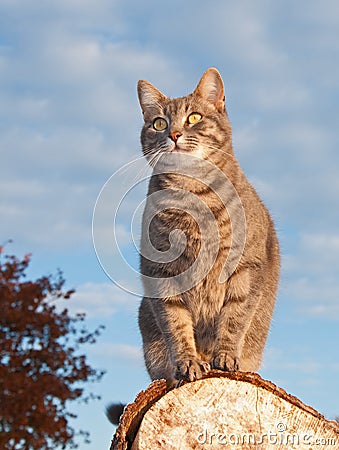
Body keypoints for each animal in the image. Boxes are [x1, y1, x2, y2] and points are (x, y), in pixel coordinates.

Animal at [137, 67, 280, 386]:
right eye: (159, 123)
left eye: (194, 117)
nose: (174, 134)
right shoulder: (162, 273)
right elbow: (176, 324)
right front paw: (188, 362)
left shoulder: (245, 268)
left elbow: (234, 317)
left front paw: (224, 356)